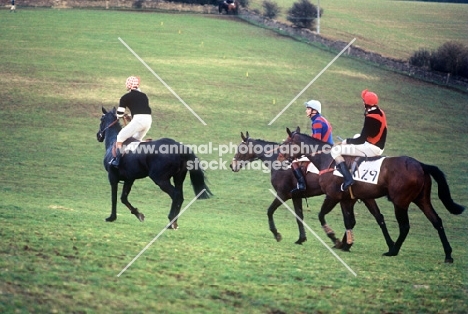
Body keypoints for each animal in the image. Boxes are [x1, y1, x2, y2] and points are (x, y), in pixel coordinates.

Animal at [230, 131, 394, 250]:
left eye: (241, 148)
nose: (232, 165)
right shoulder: (296, 196)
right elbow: (299, 216)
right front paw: (301, 238)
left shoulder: (283, 194)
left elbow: (270, 211)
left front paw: (277, 234)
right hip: (361, 197)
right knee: (375, 218)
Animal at [278, 127, 464, 262]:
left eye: (286, 143)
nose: (279, 156)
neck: (327, 160)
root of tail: (420, 164)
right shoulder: (348, 199)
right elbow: (349, 221)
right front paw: (346, 244)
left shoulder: (334, 196)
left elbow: (323, 215)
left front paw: (335, 239)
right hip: (422, 200)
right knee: (437, 221)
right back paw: (448, 254)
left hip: (400, 202)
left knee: (405, 226)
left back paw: (393, 250)